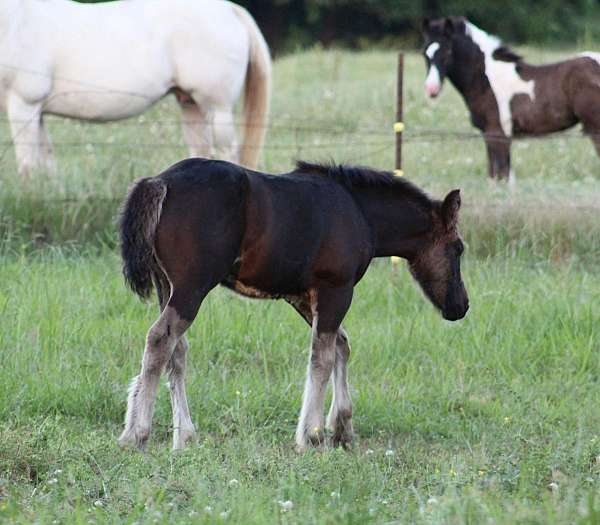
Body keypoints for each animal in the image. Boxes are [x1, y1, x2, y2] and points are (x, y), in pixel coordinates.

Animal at [0, 0, 272, 176]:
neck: (14, 19)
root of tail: (230, 9)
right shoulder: (37, 112)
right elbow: (46, 166)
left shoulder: (23, 104)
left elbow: (27, 167)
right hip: (190, 104)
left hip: (217, 107)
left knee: (229, 152)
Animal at [422, 17, 600, 181]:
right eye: (425, 54)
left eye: (448, 52)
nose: (431, 89)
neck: (485, 80)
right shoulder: (490, 133)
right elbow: (495, 173)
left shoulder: (498, 131)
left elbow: (502, 174)